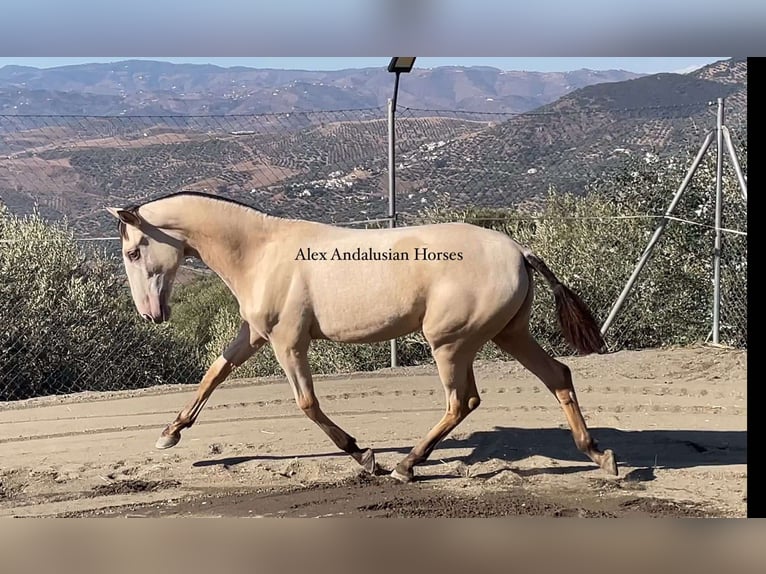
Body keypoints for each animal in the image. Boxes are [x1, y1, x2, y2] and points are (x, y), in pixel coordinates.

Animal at [106, 192, 616, 482]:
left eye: (133, 252)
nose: (151, 315)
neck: (260, 253)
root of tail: (520, 251)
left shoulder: (289, 342)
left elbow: (307, 404)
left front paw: (364, 456)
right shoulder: (255, 335)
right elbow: (215, 372)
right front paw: (169, 434)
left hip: (451, 343)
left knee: (462, 401)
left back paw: (406, 466)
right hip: (508, 335)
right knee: (558, 376)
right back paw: (599, 456)